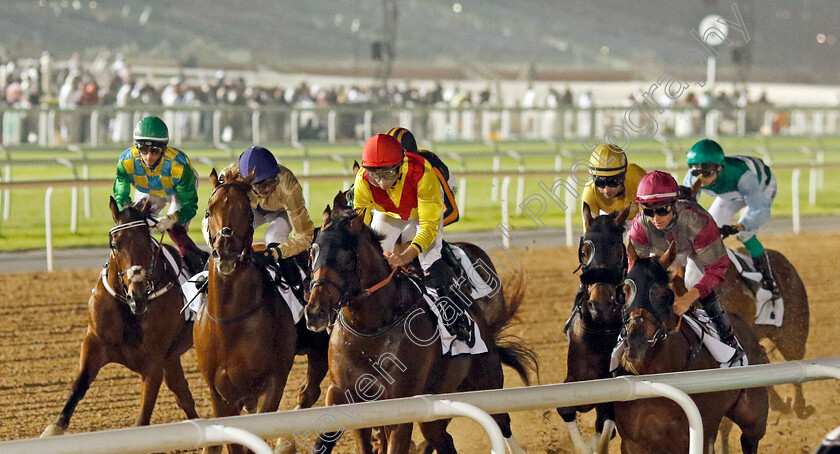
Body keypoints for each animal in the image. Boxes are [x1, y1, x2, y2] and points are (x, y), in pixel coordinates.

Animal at [41, 198, 198, 436]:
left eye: (148, 244)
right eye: (115, 244)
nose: (138, 295)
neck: (129, 310)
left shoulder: (154, 361)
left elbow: (143, 417)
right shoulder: (94, 344)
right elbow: (78, 386)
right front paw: (54, 428)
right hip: (172, 359)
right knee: (185, 398)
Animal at [196, 169, 328, 454]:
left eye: (247, 213)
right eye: (209, 211)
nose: (226, 253)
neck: (231, 322)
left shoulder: (272, 383)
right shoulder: (219, 393)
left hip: (320, 346)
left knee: (309, 392)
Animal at [306, 197, 536, 454]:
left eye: (346, 256)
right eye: (312, 251)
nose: (315, 312)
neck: (370, 329)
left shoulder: (402, 404)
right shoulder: (343, 395)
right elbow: (329, 437)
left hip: (487, 384)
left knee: (502, 422)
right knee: (444, 439)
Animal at [556, 206, 632, 454]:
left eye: (617, 250)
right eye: (584, 251)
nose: (600, 305)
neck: (598, 334)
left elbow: (607, 423)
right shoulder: (575, 378)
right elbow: (566, 409)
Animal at [612, 245, 768, 454]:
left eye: (664, 295)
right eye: (625, 292)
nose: (634, 342)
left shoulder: (699, 436)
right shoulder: (633, 443)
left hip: (753, 417)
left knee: (750, 438)